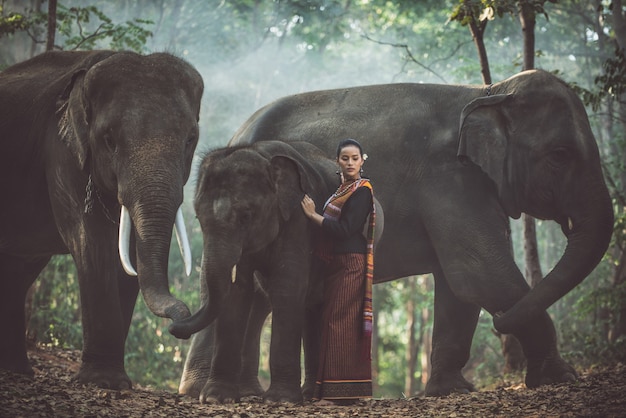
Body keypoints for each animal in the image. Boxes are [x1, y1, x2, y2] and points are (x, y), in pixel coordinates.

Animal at [0, 50, 202, 390]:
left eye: (191, 139)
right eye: (109, 139)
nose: (181, 326)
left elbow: (129, 256)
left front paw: (112, 379)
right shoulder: (62, 152)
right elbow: (93, 244)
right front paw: (103, 381)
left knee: (20, 270)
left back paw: (15, 371)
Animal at [168, 141, 380, 404]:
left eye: (246, 216)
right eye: (198, 218)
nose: (174, 328)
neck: (262, 154)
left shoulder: (297, 222)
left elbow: (286, 288)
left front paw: (280, 400)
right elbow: (238, 291)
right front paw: (216, 398)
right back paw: (308, 394)